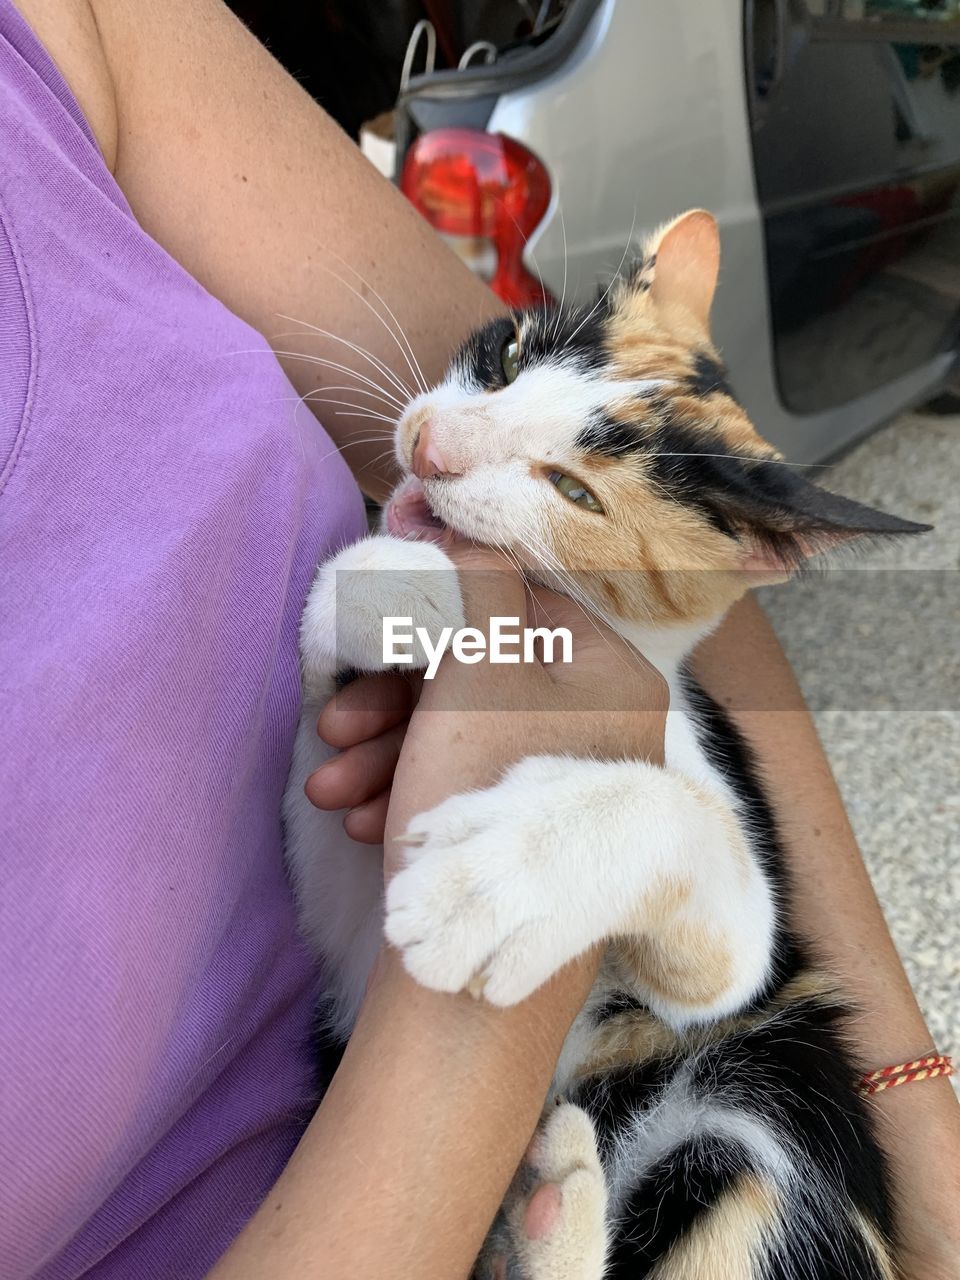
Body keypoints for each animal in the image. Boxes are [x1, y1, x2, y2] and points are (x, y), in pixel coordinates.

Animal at [284, 212, 931, 1280]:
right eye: (505, 358)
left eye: (577, 494)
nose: (431, 446)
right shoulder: (336, 905)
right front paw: (398, 583)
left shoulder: (741, 947)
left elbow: (684, 838)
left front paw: (497, 878)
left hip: (769, 1077)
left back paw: (557, 1205)